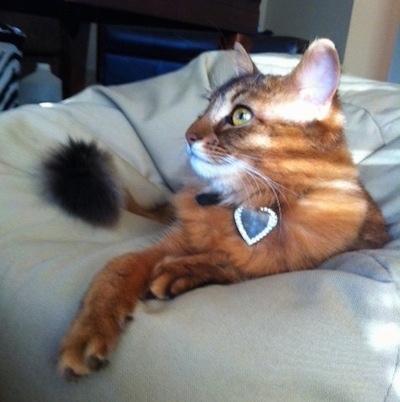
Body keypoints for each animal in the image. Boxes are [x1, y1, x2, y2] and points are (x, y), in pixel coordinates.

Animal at [49, 40, 388, 380]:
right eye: (205, 108)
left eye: (240, 116)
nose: (188, 135)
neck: (243, 202)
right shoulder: (164, 245)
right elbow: (116, 269)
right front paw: (88, 330)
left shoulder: (292, 264)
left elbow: (234, 263)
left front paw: (181, 271)